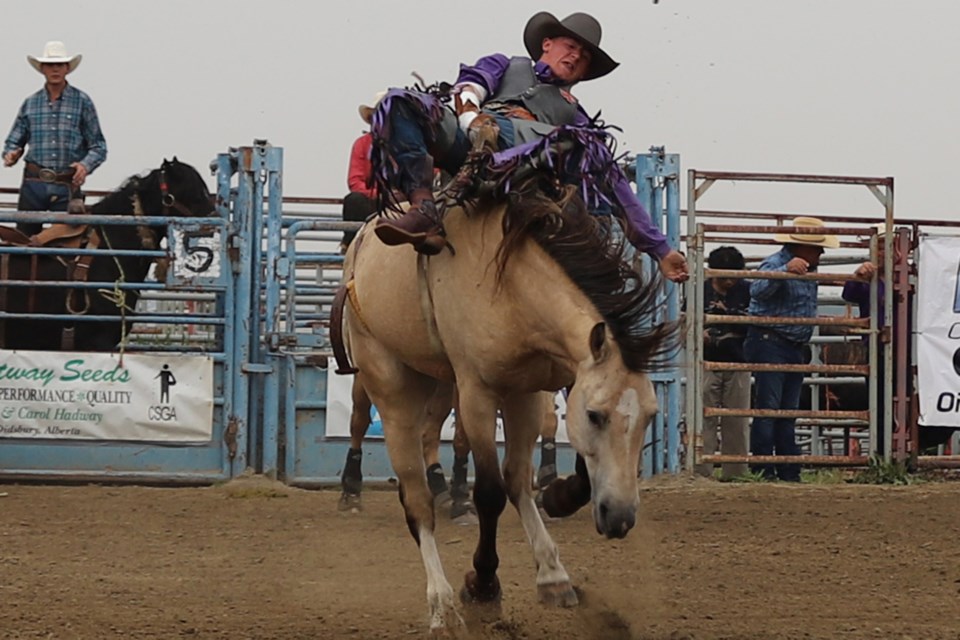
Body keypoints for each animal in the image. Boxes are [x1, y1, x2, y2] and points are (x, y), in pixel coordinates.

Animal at [342, 185, 672, 636]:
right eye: (594, 415)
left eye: (651, 416)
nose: (620, 518)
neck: (510, 284)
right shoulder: (477, 393)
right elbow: (490, 492)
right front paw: (482, 584)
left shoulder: (528, 391)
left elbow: (523, 478)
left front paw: (553, 564)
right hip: (388, 385)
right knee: (415, 498)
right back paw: (441, 605)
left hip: (435, 381)